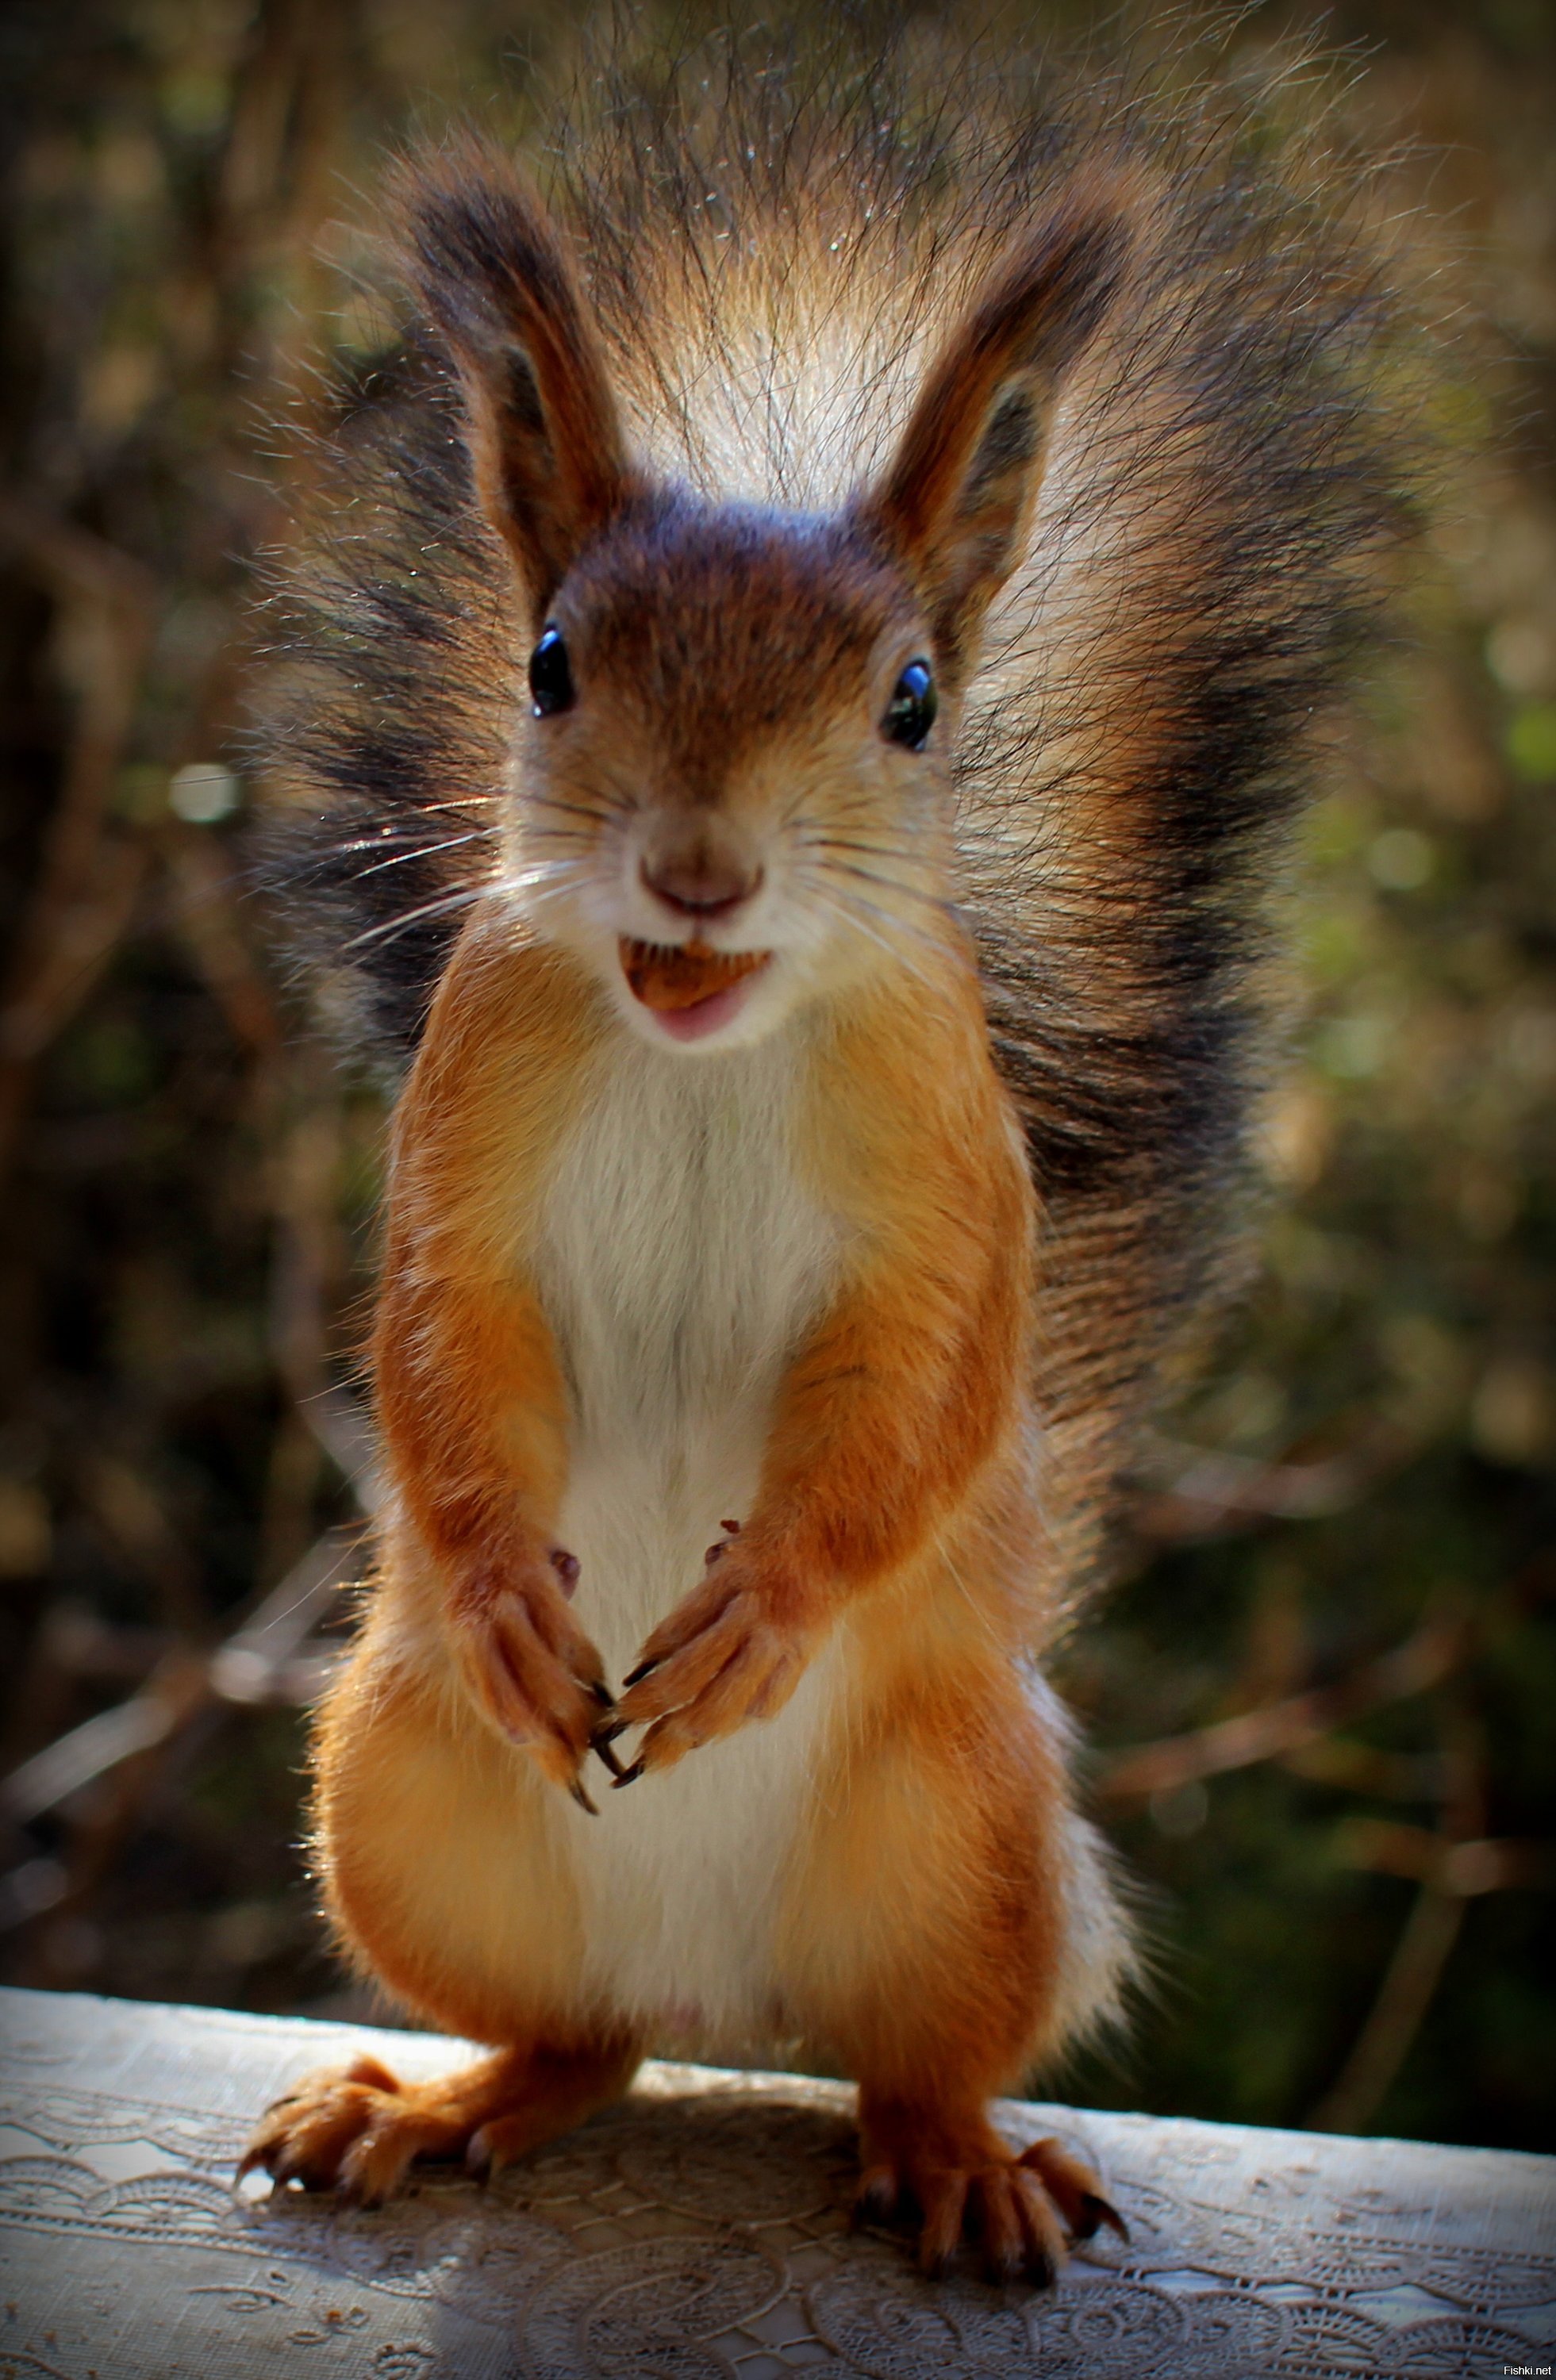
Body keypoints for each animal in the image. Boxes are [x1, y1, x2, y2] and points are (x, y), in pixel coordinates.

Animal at [240, 23, 1399, 2285]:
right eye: (549, 664)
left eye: (915, 700)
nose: (698, 869)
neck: (711, 1040)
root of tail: (723, 1996)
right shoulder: (462, 1133)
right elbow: (437, 1344)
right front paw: (506, 1586)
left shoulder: (950, 1184)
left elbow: (919, 1396)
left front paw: (761, 1606)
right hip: (398, 1794)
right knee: (580, 2039)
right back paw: (438, 2097)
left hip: (961, 1840)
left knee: (910, 2053)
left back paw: (955, 2157)